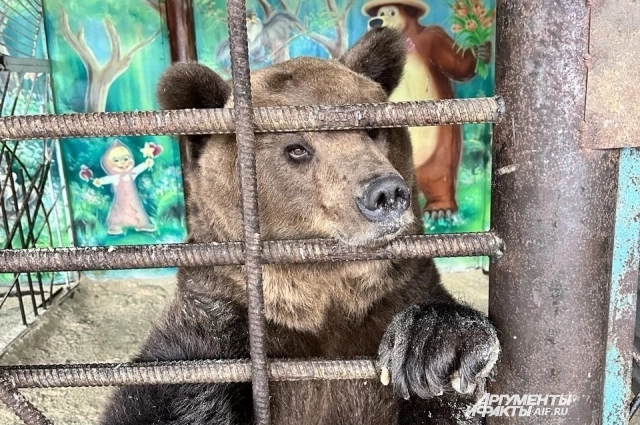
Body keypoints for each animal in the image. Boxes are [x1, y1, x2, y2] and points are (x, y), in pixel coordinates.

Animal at [98, 28, 500, 425]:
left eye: (372, 129)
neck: (321, 299)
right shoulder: (218, 322)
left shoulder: (394, 298)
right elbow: (166, 394)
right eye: (296, 148)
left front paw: (433, 344)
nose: (386, 193)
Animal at [362, 0, 492, 218]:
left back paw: (439, 209)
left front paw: (481, 51)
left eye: (391, 12)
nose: (375, 21)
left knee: (440, 173)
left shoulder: (432, 38)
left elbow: (455, 63)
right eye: (378, 13)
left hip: (440, 145)